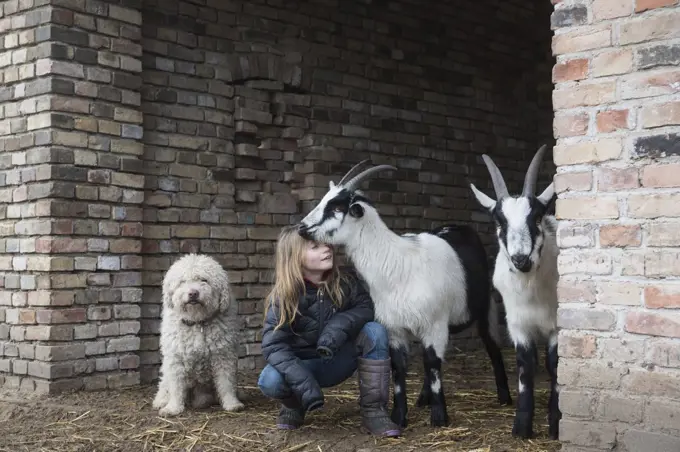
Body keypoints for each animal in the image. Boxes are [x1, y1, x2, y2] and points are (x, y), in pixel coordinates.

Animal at [152, 252, 244, 414]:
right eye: (182, 281)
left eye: (204, 280)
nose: (193, 293)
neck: (196, 323)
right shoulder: (175, 360)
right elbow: (176, 387)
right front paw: (173, 408)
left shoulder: (224, 357)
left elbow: (226, 383)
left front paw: (232, 403)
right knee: (165, 385)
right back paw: (161, 401)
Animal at [298, 161, 510, 430]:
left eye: (336, 206)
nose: (301, 228)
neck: (397, 264)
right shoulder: (395, 328)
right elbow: (399, 368)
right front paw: (399, 417)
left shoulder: (434, 323)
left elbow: (432, 364)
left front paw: (439, 418)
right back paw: (423, 399)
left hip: (484, 307)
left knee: (490, 345)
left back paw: (504, 397)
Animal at [470, 146, 560, 442]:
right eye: (499, 221)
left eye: (536, 217)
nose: (521, 259)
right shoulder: (518, 324)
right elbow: (524, 366)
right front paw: (521, 427)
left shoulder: (557, 325)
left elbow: (556, 365)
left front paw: (555, 423)